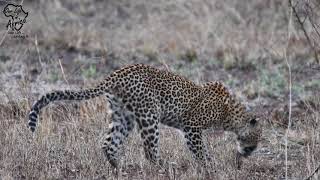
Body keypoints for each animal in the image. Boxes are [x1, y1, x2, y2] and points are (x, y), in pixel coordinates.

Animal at [28, 64, 262, 168]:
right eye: (257, 138)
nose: (250, 153)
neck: (230, 114)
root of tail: (115, 75)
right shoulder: (191, 127)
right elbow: (200, 150)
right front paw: (209, 164)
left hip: (123, 117)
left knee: (109, 143)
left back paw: (118, 167)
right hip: (149, 116)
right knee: (149, 151)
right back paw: (163, 166)